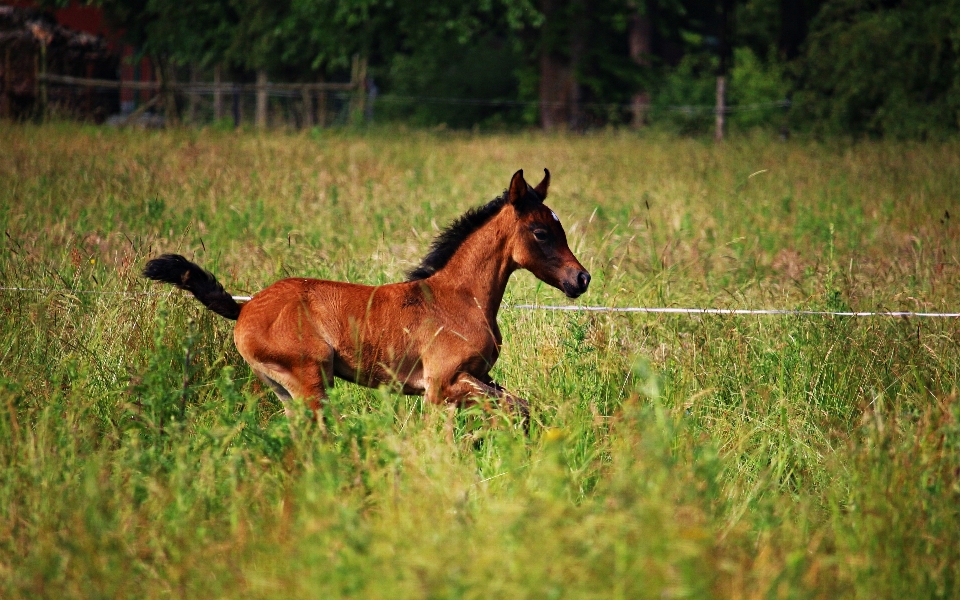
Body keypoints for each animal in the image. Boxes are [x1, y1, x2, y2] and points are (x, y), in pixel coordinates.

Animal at [143, 168, 588, 422]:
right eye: (541, 232)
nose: (581, 279)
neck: (458, 298)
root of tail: (246, 306)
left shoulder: (475, 378)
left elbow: (519, 408)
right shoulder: (442, 385)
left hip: (285, 391)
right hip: (311, 381)